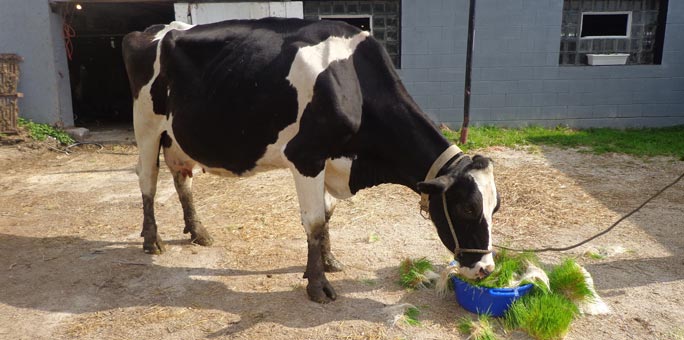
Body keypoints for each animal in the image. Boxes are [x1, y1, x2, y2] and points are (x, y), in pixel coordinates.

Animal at [123, 17, 500, 302]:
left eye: (494, 208)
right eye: (467, 207)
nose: (486, 269)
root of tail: (153, 29)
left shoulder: (332, 161)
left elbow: (327, 217)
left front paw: (328, 261)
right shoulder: (306, 157)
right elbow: (315, 221)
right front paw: (318, 286)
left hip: (176, 134)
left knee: (181, 177)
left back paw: (198, 231)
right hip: (146, 125)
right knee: (148, 179)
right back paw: (151, 240)